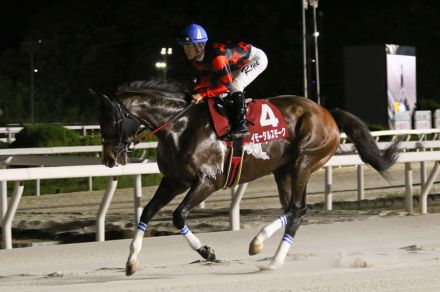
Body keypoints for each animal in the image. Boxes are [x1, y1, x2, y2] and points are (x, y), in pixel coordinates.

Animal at [99, 80, 398, 276]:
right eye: (100, 123)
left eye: (112, 121)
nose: (109, 160)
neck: (179, 126)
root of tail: (328, 113)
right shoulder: (174, 181)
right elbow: (146, 212)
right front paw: (131, 262)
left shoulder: (208, 181)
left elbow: (178, 216)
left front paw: (207, 252)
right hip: (283, 170)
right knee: (292, 210)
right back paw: (266, 252)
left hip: (304, 160)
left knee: (298, 209)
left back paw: (266, 254)